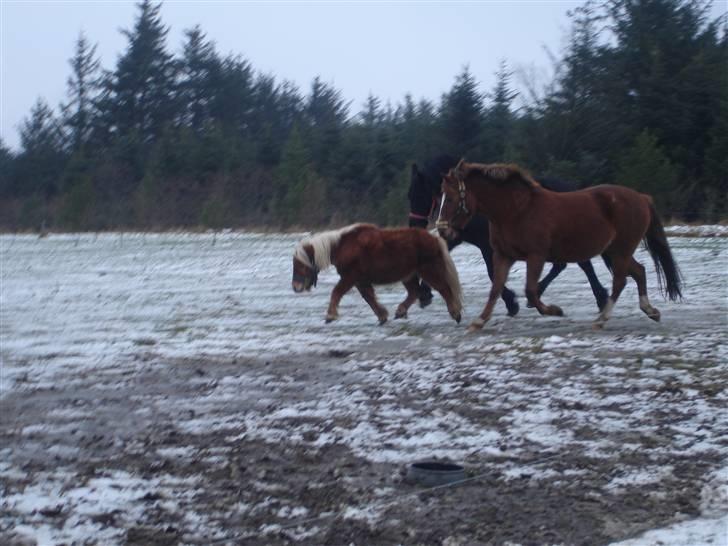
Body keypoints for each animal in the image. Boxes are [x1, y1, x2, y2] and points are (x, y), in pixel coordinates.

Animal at [292, 222, 464, 324]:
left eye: (300, 264)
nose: (295, 287)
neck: (343, 246)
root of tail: (435, 239)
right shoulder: (360, 281)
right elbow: (369, 298)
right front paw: (382, 315)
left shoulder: (350, 277)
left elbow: (337, 292)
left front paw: (330, 315)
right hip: (408, 275)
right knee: (414, 292)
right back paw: (401, 311)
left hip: (429, 271)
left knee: (444, 289)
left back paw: (455, 313)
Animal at [410, 154, 608, 314]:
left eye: (419, 195)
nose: (413, 224)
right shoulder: (456, 237)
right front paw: (424, 294)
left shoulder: (487, 245)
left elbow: (492, 273)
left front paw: (511, 303)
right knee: (564, 265)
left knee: (583, 264)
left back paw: (600, 298)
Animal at [438, 162, 684, 330]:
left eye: (449, 199)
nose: (442, 230)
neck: (515, 211)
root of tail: (642, 198)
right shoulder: (503, 256)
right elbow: (496, 288)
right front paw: (479, 321)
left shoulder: (536, 256)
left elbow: (531, 291)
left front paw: (554, 311)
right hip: (614, 252)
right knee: (639, 271)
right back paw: (650, 311)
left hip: (621, 251)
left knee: (620, 281)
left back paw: (602, 318)